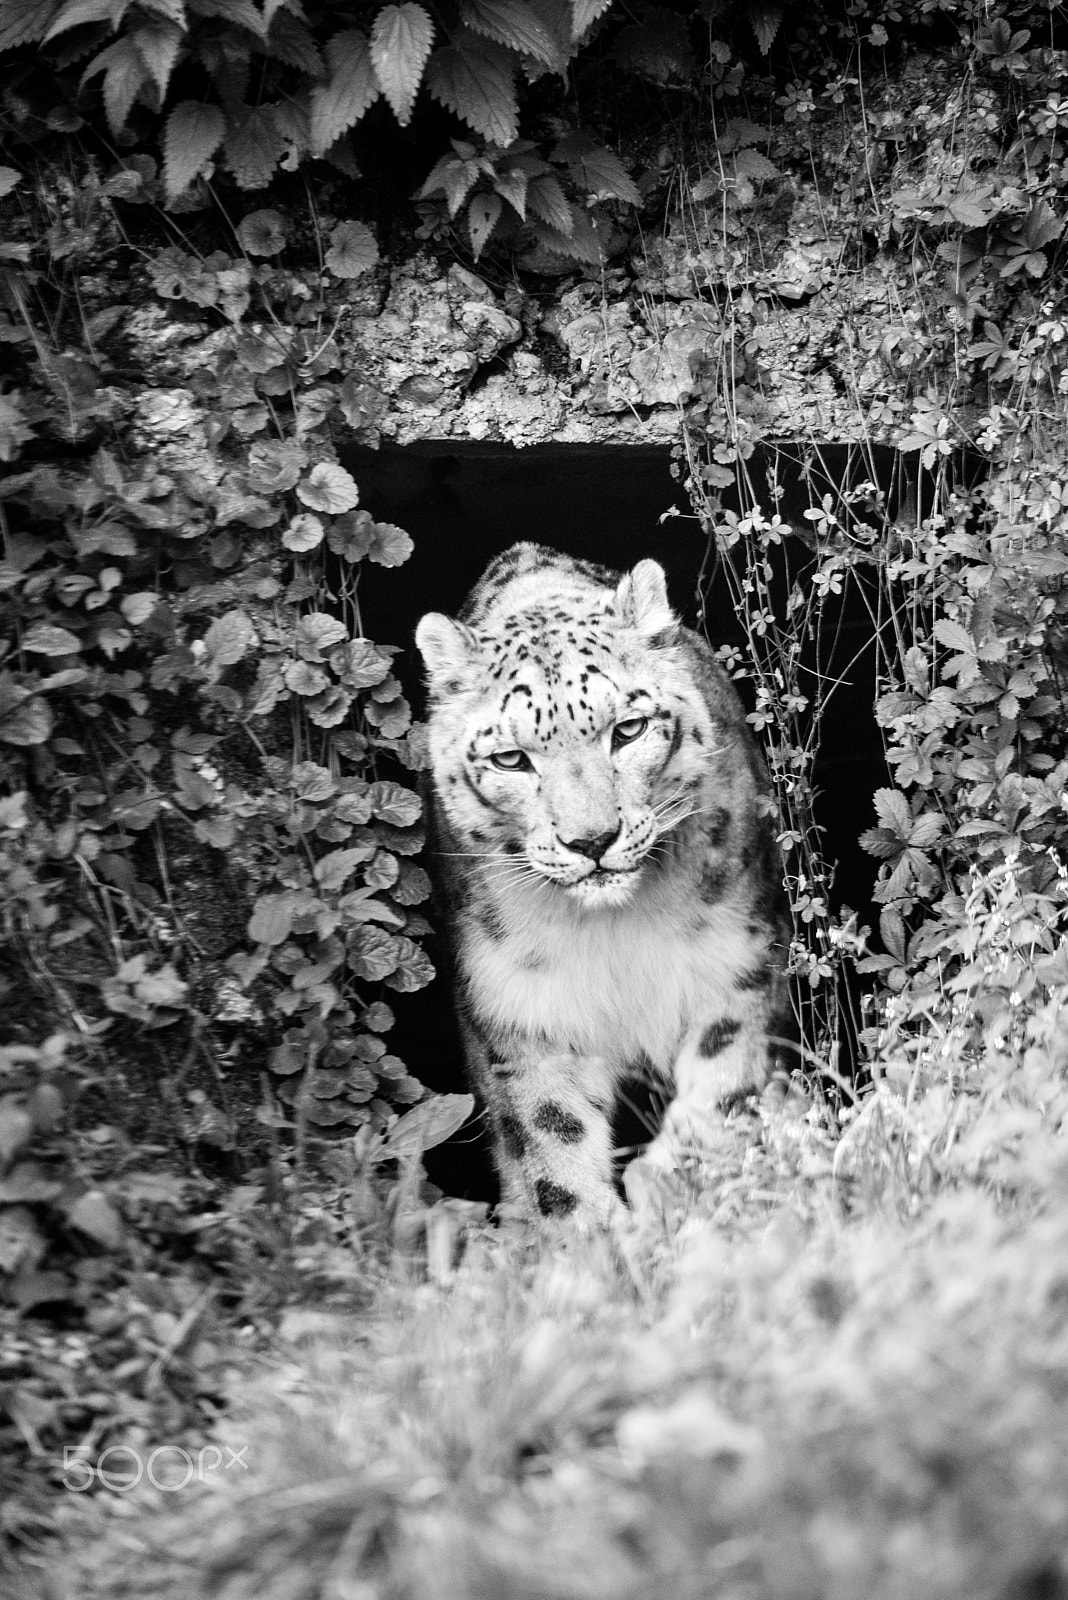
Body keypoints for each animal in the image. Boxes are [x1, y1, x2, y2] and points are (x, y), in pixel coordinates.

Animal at [415, 541, 792, 1226]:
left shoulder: (734, 959)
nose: (591, 841)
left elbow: (725, 1078)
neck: (615, 927)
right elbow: (550, 1135)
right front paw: (586, 1231)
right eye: (510, 759)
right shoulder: (522, 1004)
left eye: (629, 729)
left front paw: (673, 1184)